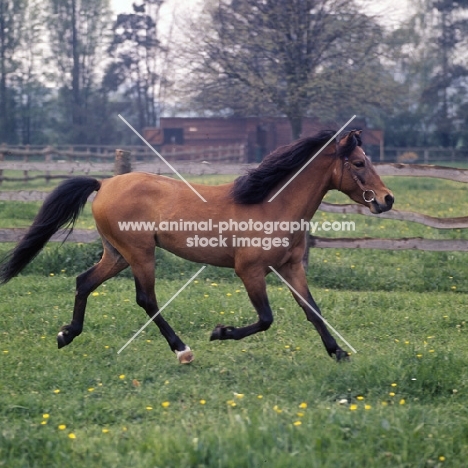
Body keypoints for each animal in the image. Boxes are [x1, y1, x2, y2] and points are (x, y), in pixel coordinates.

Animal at [0, 130, 394, 364]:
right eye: (359, 162)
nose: (386, 200)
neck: (271, 205)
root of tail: (104, 183)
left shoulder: (291, 268)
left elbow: (313, 310)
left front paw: (338, 352)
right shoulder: (250, 271)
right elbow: (266, 318)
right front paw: (221, 333)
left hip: (117, 255)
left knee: (83, 282)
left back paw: (66, 335)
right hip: (140, 254)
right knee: (146, 299)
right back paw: (183, 350)